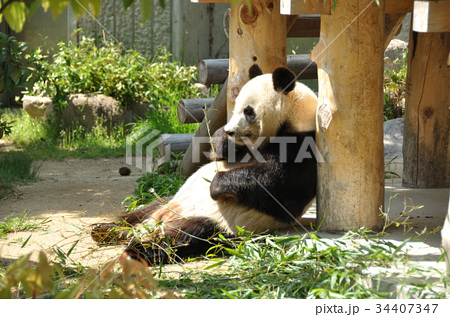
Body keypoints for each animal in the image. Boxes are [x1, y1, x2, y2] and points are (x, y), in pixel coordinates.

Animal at [89, 65, 318, 264]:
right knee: (144, 209)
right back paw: (106, 228)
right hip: (169, 201)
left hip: (218, 222)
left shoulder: (303, 143)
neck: (293, 117)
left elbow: (279, 186)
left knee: (185, 236)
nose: (231, 130)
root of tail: (153, 225)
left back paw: (135, 248)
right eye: (235, 107)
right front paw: (225, 141)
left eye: (249, 111)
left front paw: (216, 186)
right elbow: (218, 148)